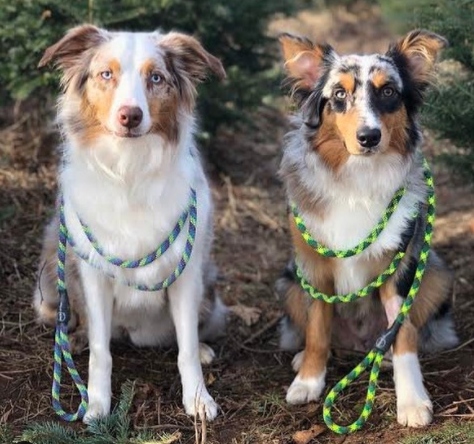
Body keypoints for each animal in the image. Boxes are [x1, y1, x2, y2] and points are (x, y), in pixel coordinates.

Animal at [33, 25, 226, 424]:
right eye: (107, 74)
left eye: (156, 78)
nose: (130, 116)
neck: (130, 169)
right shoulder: (94, 273)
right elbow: (100, 350)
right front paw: (96, 404)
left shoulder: (187, 273)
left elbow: (185, 347)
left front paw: (198, 398)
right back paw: (74, 338)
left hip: (210, 285)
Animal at [276, 30, 458, 426]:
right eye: (339, 95)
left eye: (388, 91)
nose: (369, 136)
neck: (357, 182)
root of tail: (360, 343)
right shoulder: (313, 266)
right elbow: (316, 329)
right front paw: (308, 381)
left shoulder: (399, 265)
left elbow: (403, 334)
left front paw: (412, 401)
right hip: (288, 283)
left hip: (437, 276)